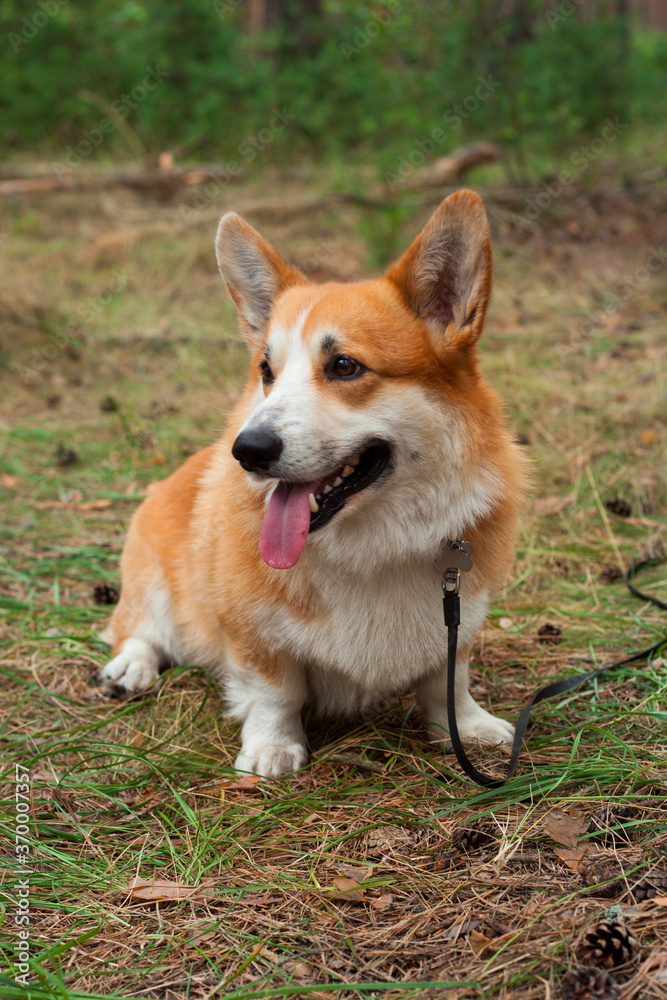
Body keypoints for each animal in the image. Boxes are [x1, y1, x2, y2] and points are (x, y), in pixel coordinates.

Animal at [100, 189, 528, 780]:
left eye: (345, 366)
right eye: (266, 371)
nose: (246, 451)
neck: (371, 545)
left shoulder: (459, 617)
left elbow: (449, 682)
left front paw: (466, 730)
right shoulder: (249, 629)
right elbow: (275, 691)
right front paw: (272, 749)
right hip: (154, 581)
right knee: (139, 629)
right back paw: (131, 668)